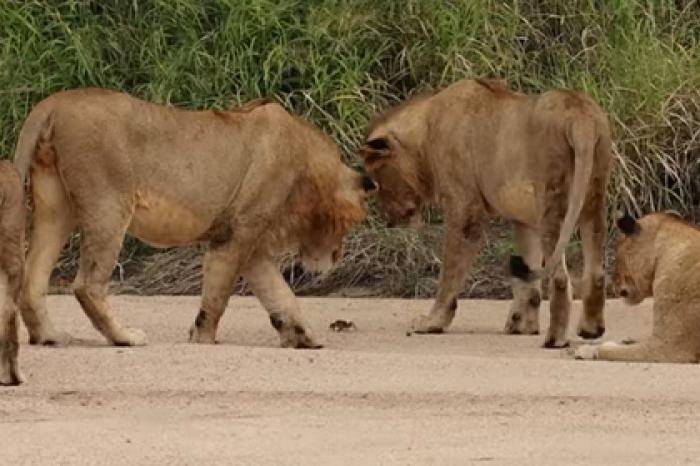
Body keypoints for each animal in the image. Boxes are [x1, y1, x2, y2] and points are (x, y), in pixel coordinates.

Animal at [13, 88, 374, 350]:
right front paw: (203, 339)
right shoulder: (238, 234)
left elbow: (277, 291)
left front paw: (303, 336)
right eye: (349, 224)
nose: (337, 257)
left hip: (56, 208)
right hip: (109, 205)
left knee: (32, 279)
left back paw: (51, 337)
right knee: (87, 284)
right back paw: (125, 337)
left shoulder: (249, 241)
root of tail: (54, 102)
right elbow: (218, 293)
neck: (309, 165)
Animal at [360, 77, 612, 346]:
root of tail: (580, 115)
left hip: (554, 203)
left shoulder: (465, 209)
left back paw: (554, 339)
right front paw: (522, 325)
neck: (426, 128)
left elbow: (450, 271)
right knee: (596, 271)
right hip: (592, 200)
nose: (388, 221)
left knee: (560, 278)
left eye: (378, 179)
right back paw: (590, 329)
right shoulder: (524, 219)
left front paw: (432, 322)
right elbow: (528, 276)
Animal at [576, 214, 700, 364]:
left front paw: (587, 350)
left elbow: (609, 351)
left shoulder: (671, 347)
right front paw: (626, 340)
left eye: (617, 254)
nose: (612, 284)